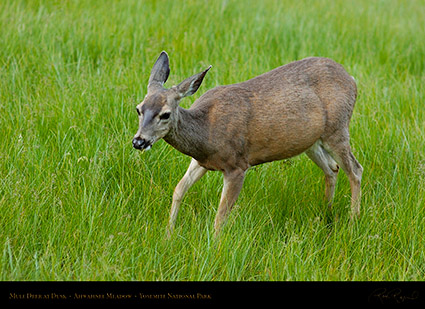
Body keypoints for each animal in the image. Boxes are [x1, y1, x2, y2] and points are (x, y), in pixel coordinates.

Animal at [132, 51, 362, 236]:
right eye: (138, 108)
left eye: (165, 114)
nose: (139, 141)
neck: (206, 132)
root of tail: (352, 79)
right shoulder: (200, 161)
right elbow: (179, 190)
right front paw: (168, 235)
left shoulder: (237, 165)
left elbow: (221, 215)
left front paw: (215, 247)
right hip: (311, 142)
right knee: (332, 168)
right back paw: (327, 213)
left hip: (337, 129)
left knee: (355, 170)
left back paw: (352, 222)